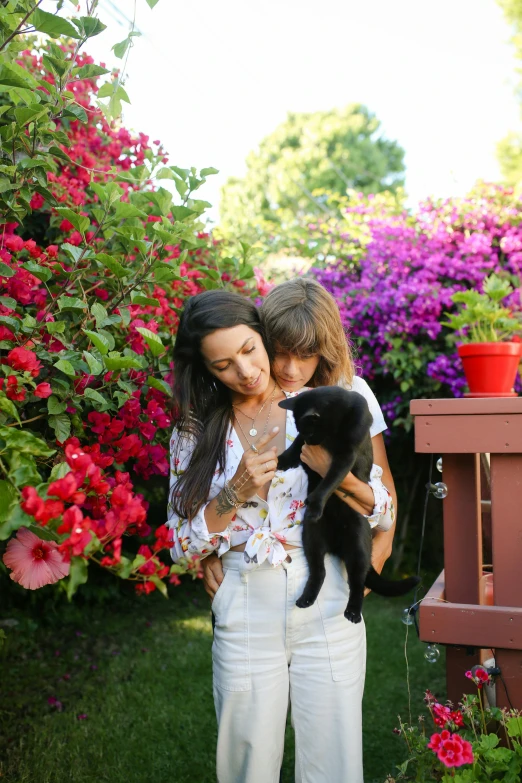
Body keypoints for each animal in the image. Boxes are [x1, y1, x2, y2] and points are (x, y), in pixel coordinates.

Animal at [276, 388, 418, 624]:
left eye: (309, 431)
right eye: (303, 432)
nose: (309, 441)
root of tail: (335, 545)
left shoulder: (346, 454)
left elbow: (329, 481)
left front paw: (315, 505)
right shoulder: (299, 450)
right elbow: (285, 455)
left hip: (357, 548)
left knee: (357, 583)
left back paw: (352, 612)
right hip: (312, 539)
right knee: (319, 572)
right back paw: (306, 599)